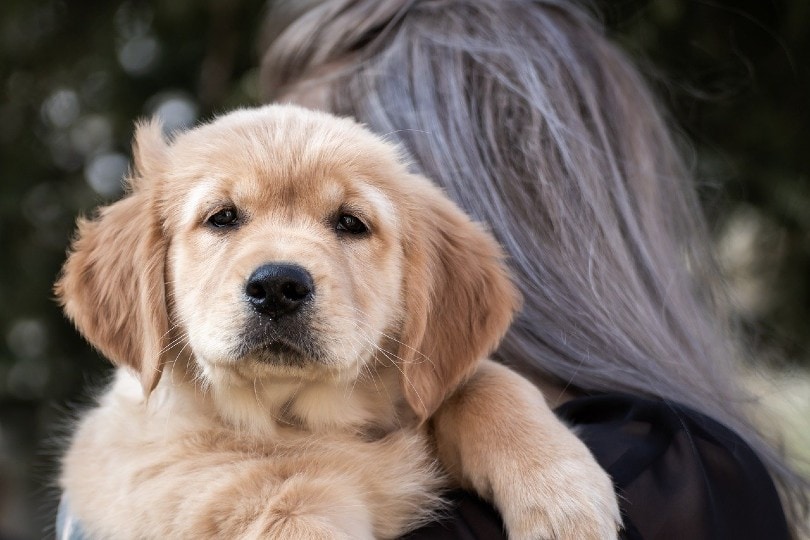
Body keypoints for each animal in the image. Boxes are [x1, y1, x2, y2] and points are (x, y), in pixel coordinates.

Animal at [56, 103, 620, 536]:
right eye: (222, 217)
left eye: (350, 223)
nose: (277, 286)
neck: (292, 417)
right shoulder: (157, 471)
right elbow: (273, 495)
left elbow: (486, 382)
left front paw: (562, 494)